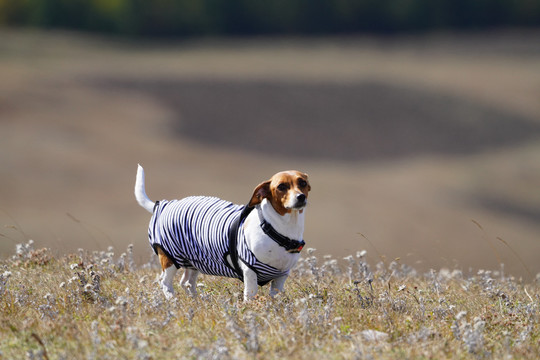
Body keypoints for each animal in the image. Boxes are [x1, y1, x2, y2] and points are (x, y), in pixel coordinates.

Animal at [135, 165, 310, 300]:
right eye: (281, 186)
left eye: (303, 183)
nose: (300, 197)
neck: (278, 230)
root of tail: (162, 206)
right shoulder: (250, 271)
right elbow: (250, 294)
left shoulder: (281, 277)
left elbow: (276, 295)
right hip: (170, 258)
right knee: (165, 283)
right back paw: (173, 300)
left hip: (193, 261)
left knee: (186, 283)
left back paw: (197, 300)